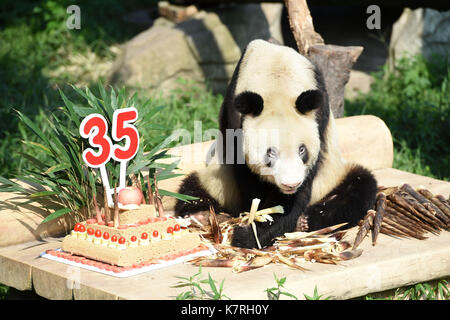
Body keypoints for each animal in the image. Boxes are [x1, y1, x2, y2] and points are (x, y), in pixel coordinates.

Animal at [174, 40, 378, 249]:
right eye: (270, 153)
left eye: (302, 149)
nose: (291, 184)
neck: (278, 79)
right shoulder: (235, 116)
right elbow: (248, 178)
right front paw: (253, 225)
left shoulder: (318, 117)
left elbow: (295, 196)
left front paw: (251, 233)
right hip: (218, 182)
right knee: (191, 191)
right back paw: (203, 215)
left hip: (332, 177)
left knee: (359, 188)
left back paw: (306, 221)